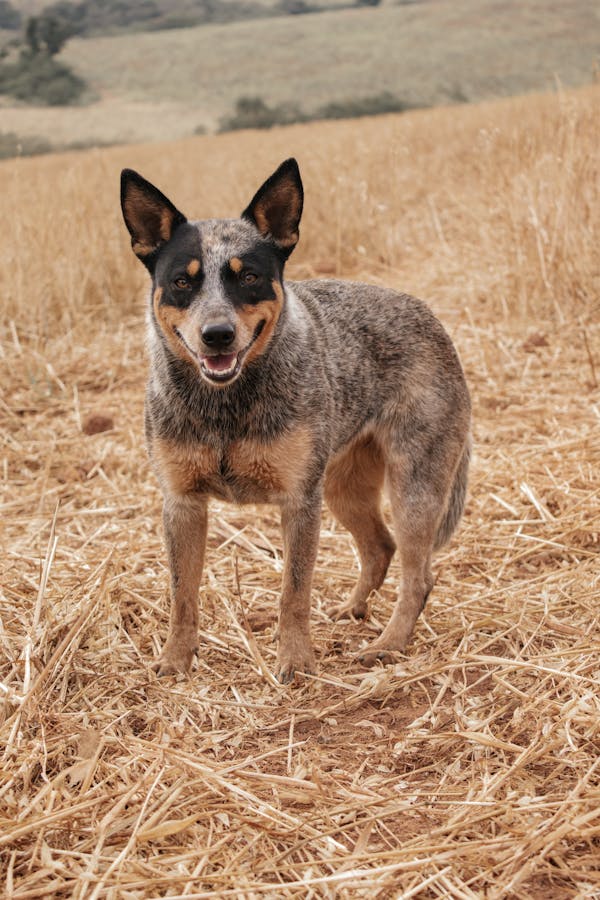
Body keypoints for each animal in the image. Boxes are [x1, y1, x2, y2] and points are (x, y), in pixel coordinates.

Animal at [120, 160, 468, 684]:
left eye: (249, 277)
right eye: (183, 281)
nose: (217, 335)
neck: (226, 406)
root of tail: (431, 318)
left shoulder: (299, 502)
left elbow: (294, 592)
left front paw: (297, 659)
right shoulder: (181, 504)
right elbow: (183, 595)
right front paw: (176, 659)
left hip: (413, 488)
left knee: (419, 575)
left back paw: (388, 644)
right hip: (343, 487)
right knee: (379, 548)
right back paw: (352, 610)